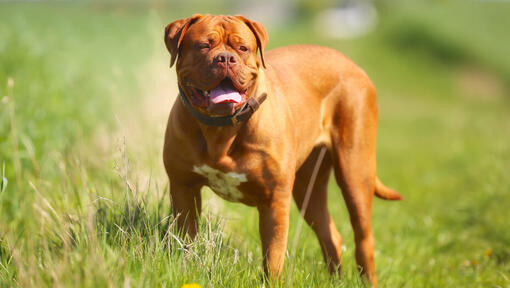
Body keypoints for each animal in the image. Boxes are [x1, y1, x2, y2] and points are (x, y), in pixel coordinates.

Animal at [163, 13, 402, 286]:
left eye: (242, 48)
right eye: (204, 45)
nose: (225, 58)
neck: (221, 130)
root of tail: (352, 64)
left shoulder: (274, 200)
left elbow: (273, 256)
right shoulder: (183, 188)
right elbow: (185, 240)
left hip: (355, 172)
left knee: (364, 239)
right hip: (308, 187)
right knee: (330, 234)